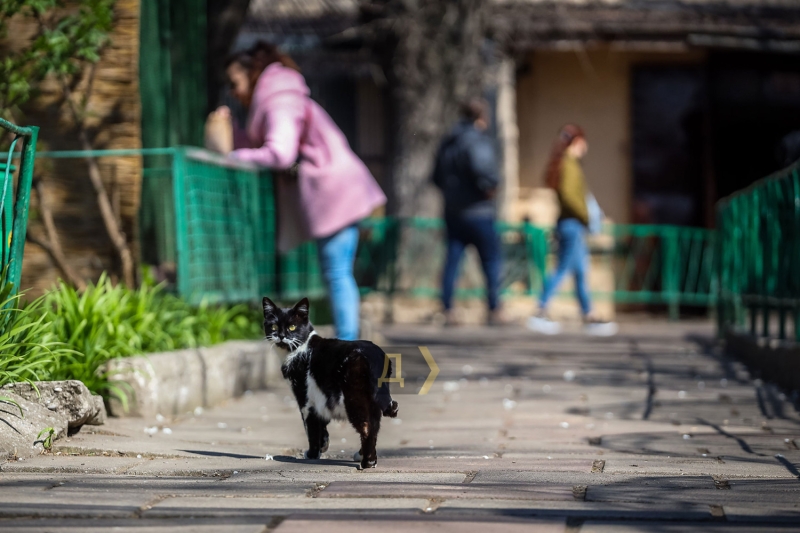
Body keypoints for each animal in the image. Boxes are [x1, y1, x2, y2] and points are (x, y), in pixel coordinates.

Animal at [264, 298, 398, 468]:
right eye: (274, 326)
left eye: (292, 327)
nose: (281, 336)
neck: (298, 350)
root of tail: (375, 355)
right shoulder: (319, 399)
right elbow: (321, 424)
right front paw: (323, 445)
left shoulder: (305, 400)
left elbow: (311, 428)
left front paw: (313, 453)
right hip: (373, 399)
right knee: (374, 426)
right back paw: (365, 457)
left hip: (354, 397)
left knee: (366, 426)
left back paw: (367, 462)